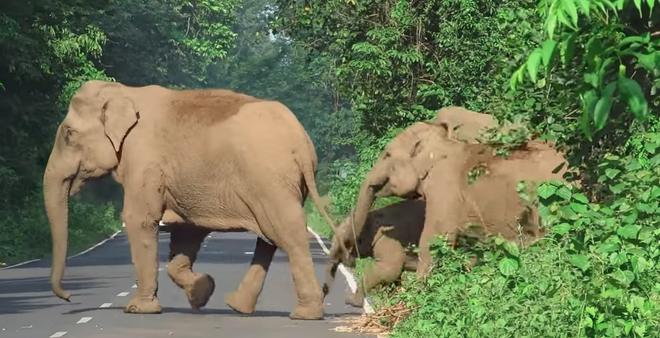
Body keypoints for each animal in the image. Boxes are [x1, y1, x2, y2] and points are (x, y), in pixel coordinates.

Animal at [44, 79, 346, 320]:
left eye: (69, 134)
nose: (68, 297)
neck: (125, 92)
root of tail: (302, 142)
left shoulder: (144, 159)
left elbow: (139, 220)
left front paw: (138, 309)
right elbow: (186, 232)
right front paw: (202, 292)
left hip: (270, 179)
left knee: (287, 233)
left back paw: (304, 315)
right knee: (270, 238)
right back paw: (237, 306)